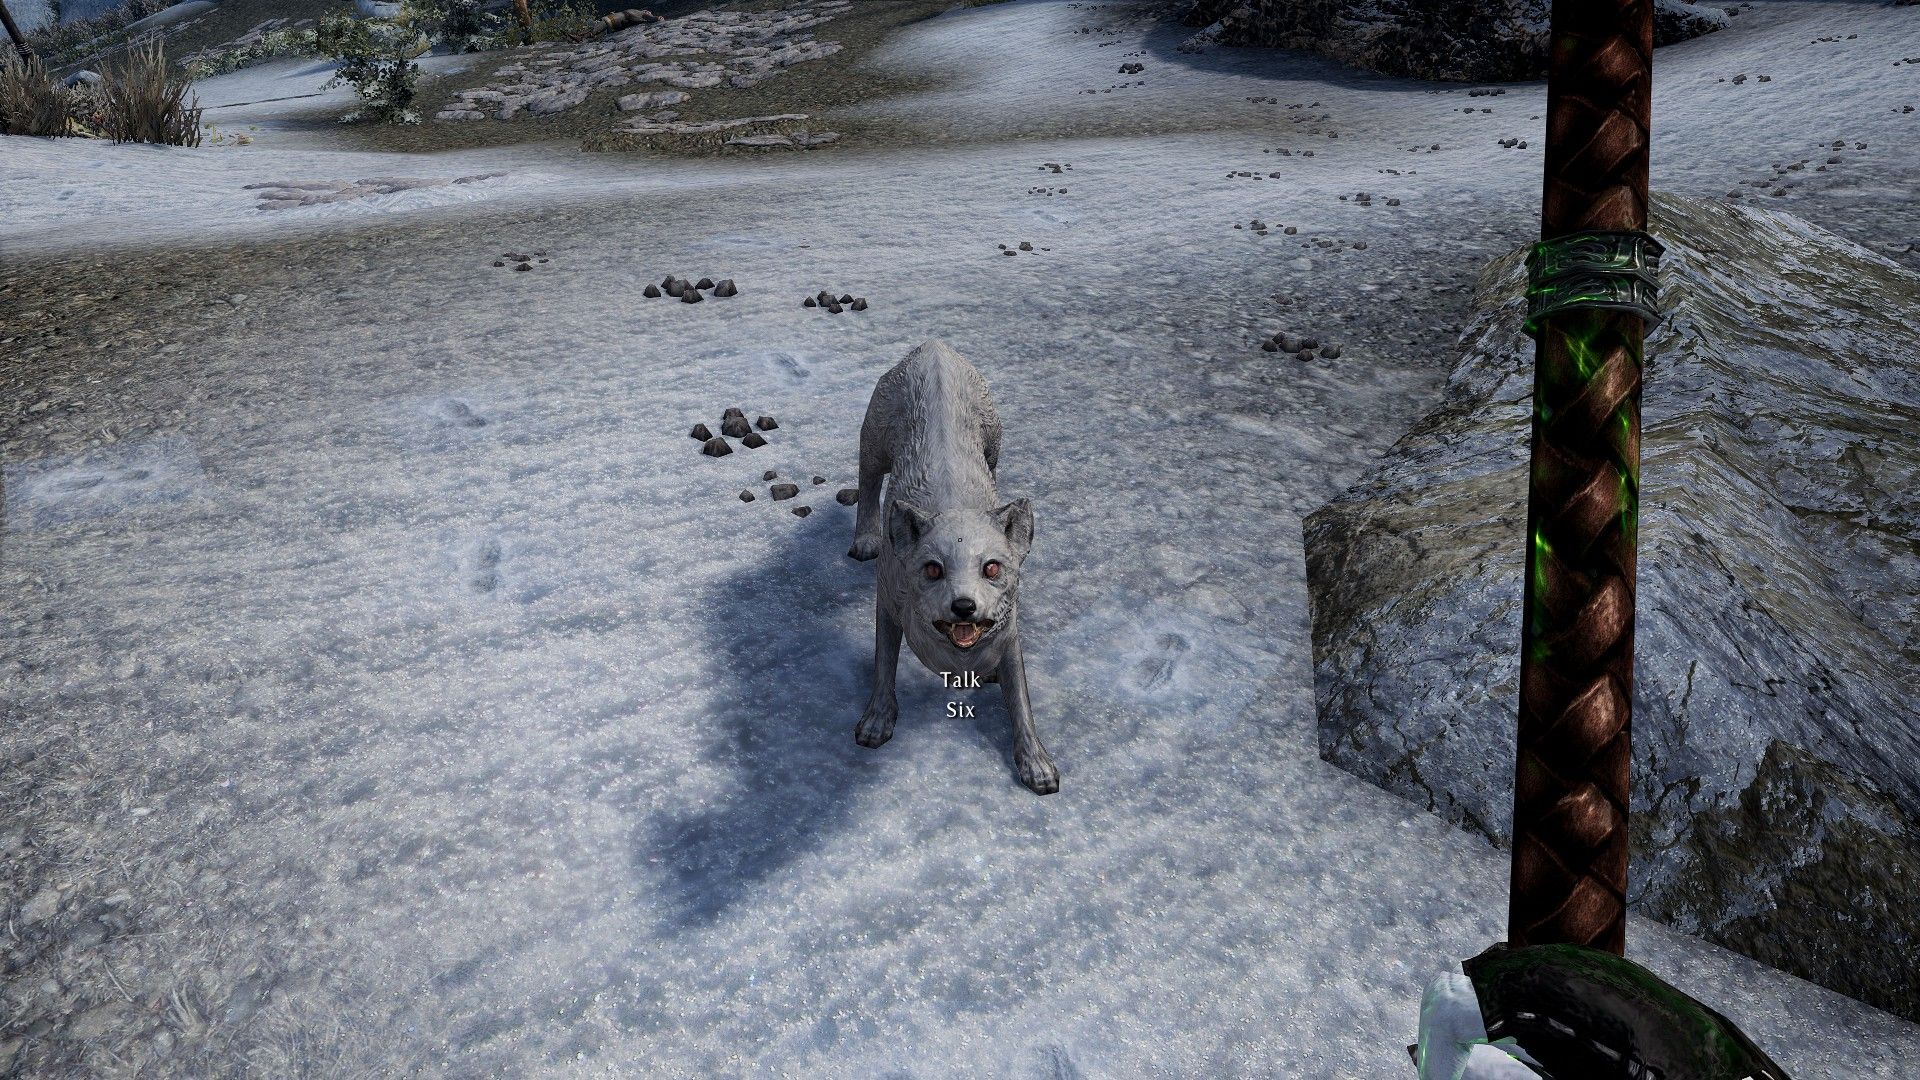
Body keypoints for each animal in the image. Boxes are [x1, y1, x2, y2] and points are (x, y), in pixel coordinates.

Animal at [847, 339, 1059, 795]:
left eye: (992, 569)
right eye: (932, 570)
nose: (964, 606)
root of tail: (934, 348)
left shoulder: (1011, 631)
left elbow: (1020, 698)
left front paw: (1037, 766)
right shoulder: (887, 598)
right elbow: (883, 662)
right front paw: (876, 722)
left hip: (993, 440)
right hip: (874, 438)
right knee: (867, 479)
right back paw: (866, 538)